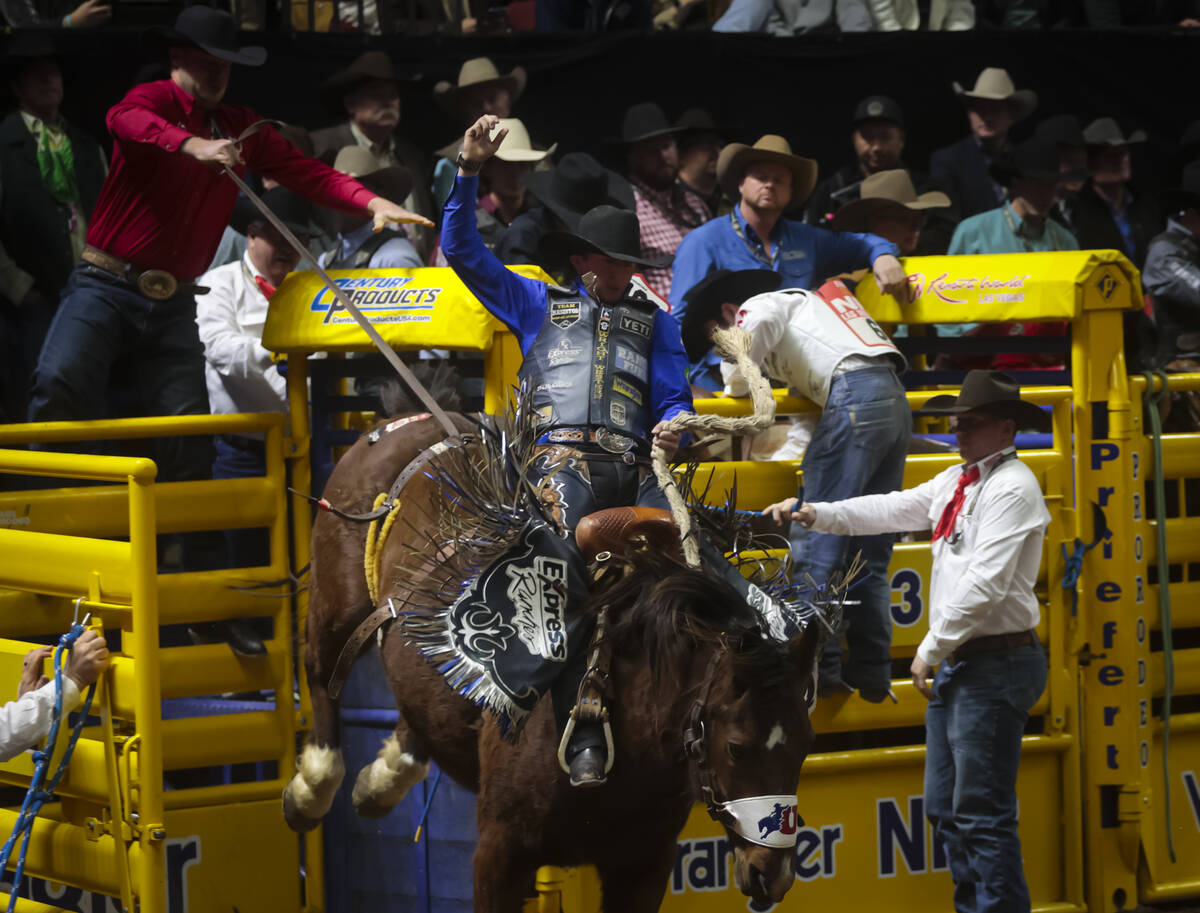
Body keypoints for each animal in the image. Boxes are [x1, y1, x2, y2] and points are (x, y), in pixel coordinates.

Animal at [280, 410, 825, 907]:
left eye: (804, 746)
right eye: (736, 746)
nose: (773, 875)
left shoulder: (644, 864)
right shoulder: (499, 852)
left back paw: (381, 780)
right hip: (336, 604)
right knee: (320, 674)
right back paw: (312, 789)